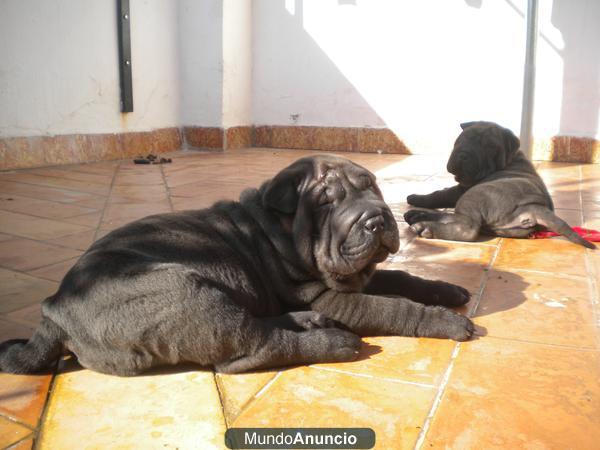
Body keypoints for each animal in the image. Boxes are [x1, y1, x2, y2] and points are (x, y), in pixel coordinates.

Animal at [1, 155, 478, 376]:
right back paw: (330, 341)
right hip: (185, 294)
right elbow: (393, 306)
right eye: (327, 202)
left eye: (371, 187)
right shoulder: (333, 296)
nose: (377, 218)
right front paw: (447, 321)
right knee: (249, 350)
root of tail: (54, 308)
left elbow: (403, 276)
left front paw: (448, 290)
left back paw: (305, 322)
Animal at [404, 121, 596, 250]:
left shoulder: (463, 188)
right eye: (463, 138)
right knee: (455, 217)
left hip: (474, 194)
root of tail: (535, 207)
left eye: (490, 147)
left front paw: (416, 197)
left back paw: (425, 226)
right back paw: (417, 216)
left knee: (467, 227)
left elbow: (439, 194)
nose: (464, 155)